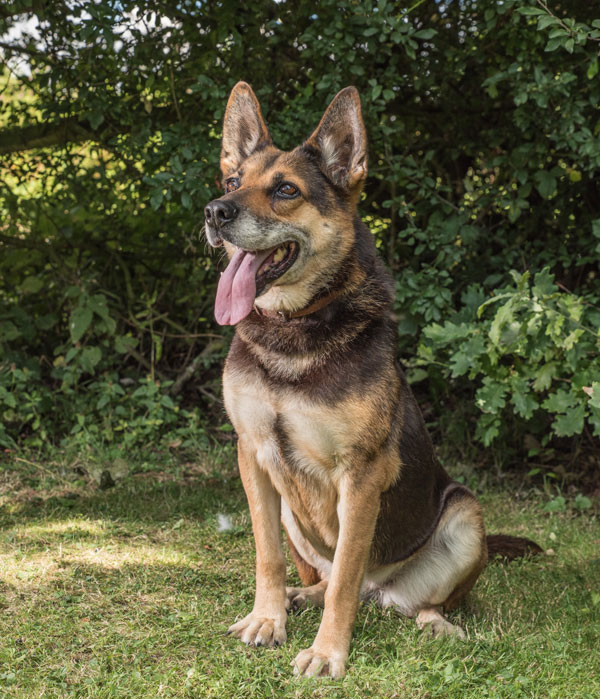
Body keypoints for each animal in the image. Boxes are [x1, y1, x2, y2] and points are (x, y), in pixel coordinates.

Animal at [204, 82, 540, 680]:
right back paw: (300, 596)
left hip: (464, 515)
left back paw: (437, 623)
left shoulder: (360, 476)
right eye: (232, 183)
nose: (214, 212)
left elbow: (343, 579)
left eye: (286, 190)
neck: (296, 327)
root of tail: (383, 590)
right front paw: (267, 618)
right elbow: (269, 556)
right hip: (291, 511)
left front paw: (327, 651)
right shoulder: (254, 456)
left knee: (398, 595)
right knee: (330, 578)